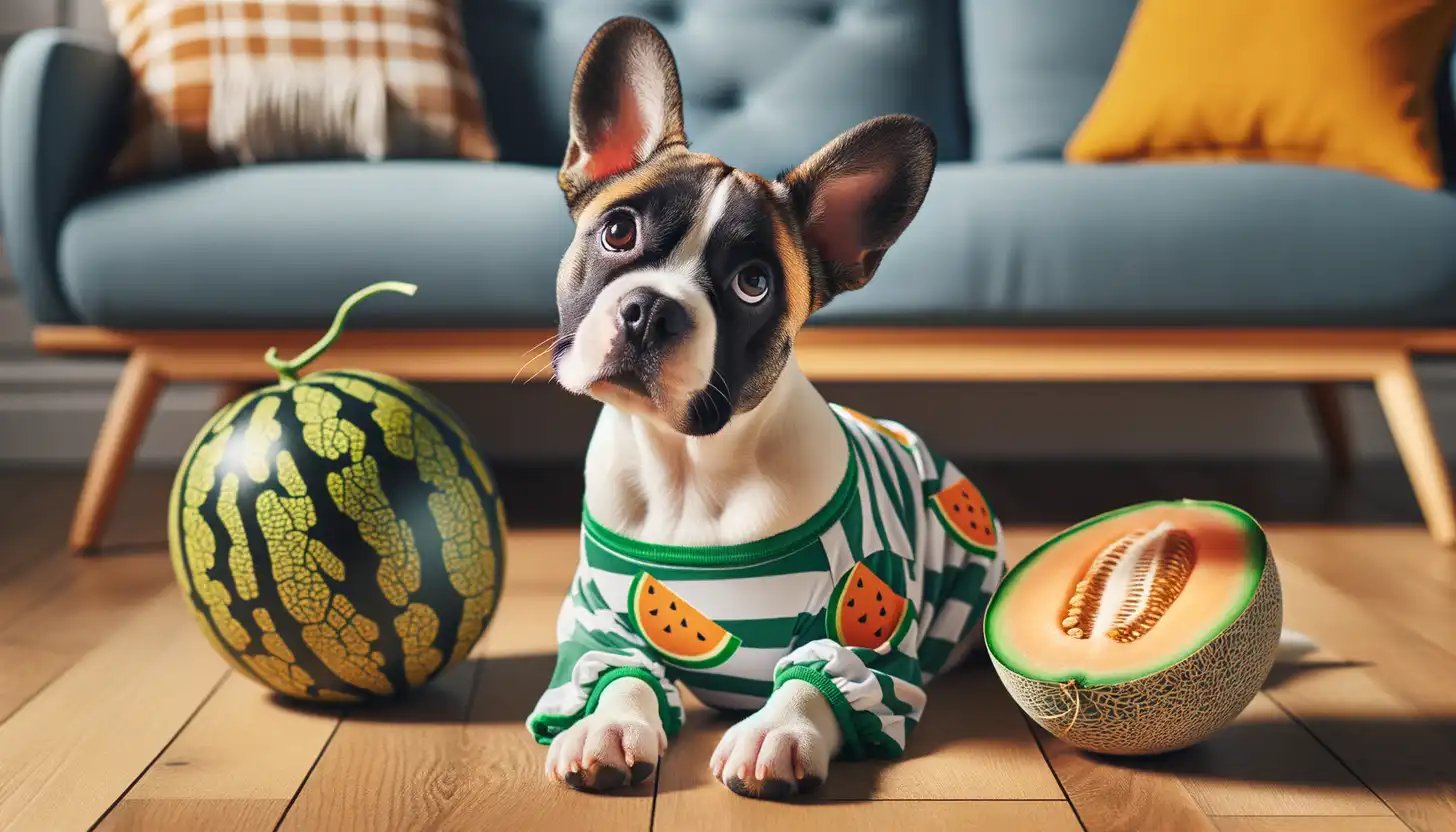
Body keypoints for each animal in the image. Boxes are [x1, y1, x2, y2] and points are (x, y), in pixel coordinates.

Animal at [529, 17, 1007, 798]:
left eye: (752, 285)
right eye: (618, 233)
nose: (651, 310)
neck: (687, 468)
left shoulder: (864, 630)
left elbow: (821, 680)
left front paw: (776, 735)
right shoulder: (602, 621)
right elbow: (617, 673)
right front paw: (606, 725)